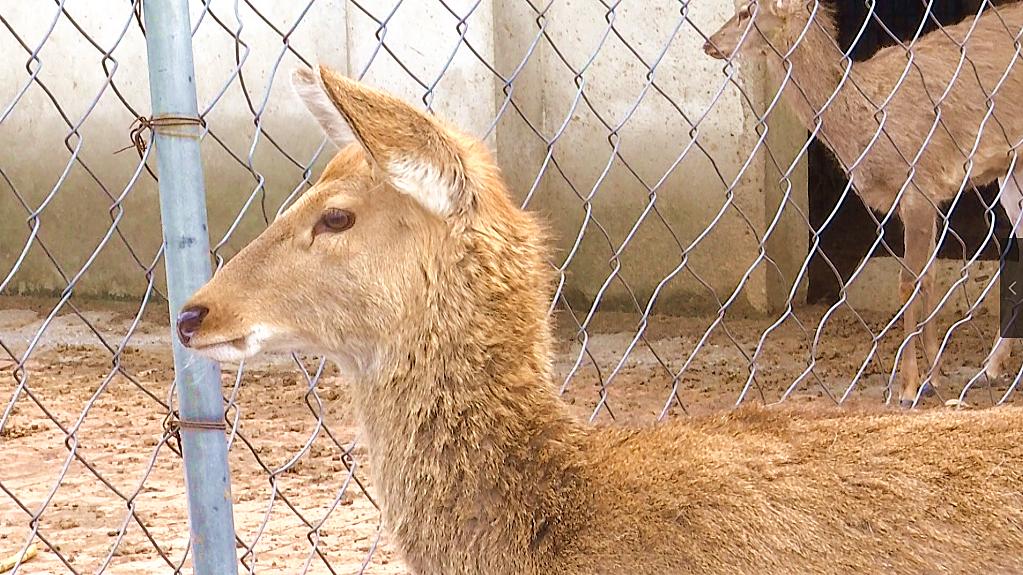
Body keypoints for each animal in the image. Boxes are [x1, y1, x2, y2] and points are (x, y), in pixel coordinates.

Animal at [704, 0, 1023, 407]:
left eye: (746, 11)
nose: (709, 44)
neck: (862, 121)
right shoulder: (930, 195)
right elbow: (929, 277)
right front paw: (934, 378)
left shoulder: (918, 183)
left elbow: (909, 282)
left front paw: (908, 387)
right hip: (1010, 168)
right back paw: (990, 368)